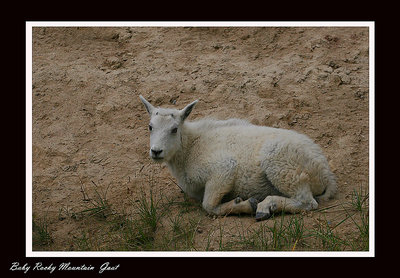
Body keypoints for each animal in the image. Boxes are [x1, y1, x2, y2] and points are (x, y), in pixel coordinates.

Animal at [139, 95, 336, 222]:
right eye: (150, 127)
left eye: (174, 129)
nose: (156, 151)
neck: (190, 146)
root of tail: (326, 174)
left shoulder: (224, 168)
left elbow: (208, 206)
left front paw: (245, 204)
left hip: (284, 167)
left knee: (307, 202)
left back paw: (265, 206)